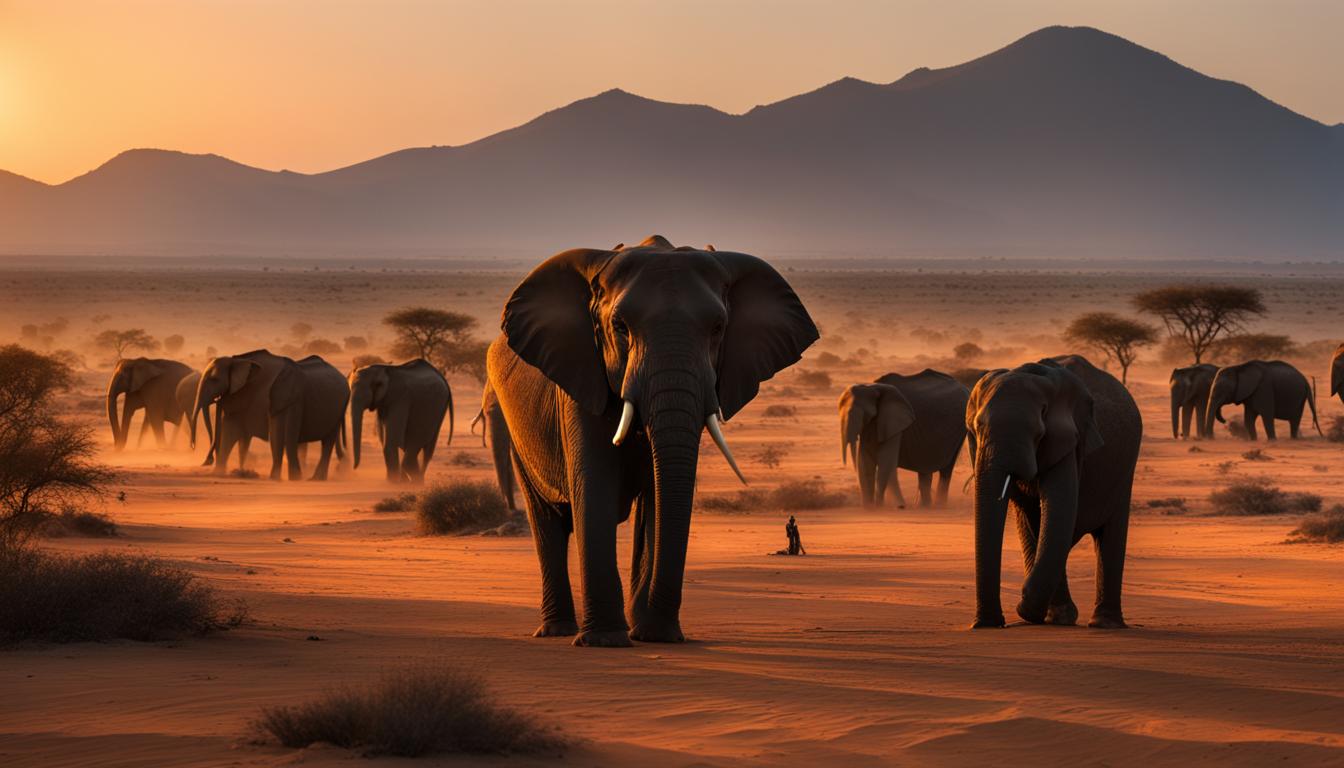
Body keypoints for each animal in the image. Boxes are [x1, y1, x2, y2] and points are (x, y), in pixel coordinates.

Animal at [489, 235, 811, 648]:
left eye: (719, 328)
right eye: (620, 326)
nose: (662, 633)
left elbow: (661, 497)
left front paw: (654, 635)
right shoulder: (582, 377)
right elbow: (595, 489)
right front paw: (606, 641)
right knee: (548, 521)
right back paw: (557, 631)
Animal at [967, 355, 1145, 632]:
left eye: (1039, 434)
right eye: (976, 431)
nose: (988, 624)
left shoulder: (1069, 440)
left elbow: (1055, 513)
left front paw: (1036, 612)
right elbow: (1038, 521)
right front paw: (1047, 615)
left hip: (1124, 468)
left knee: (1110, 530)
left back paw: (1104, 624)